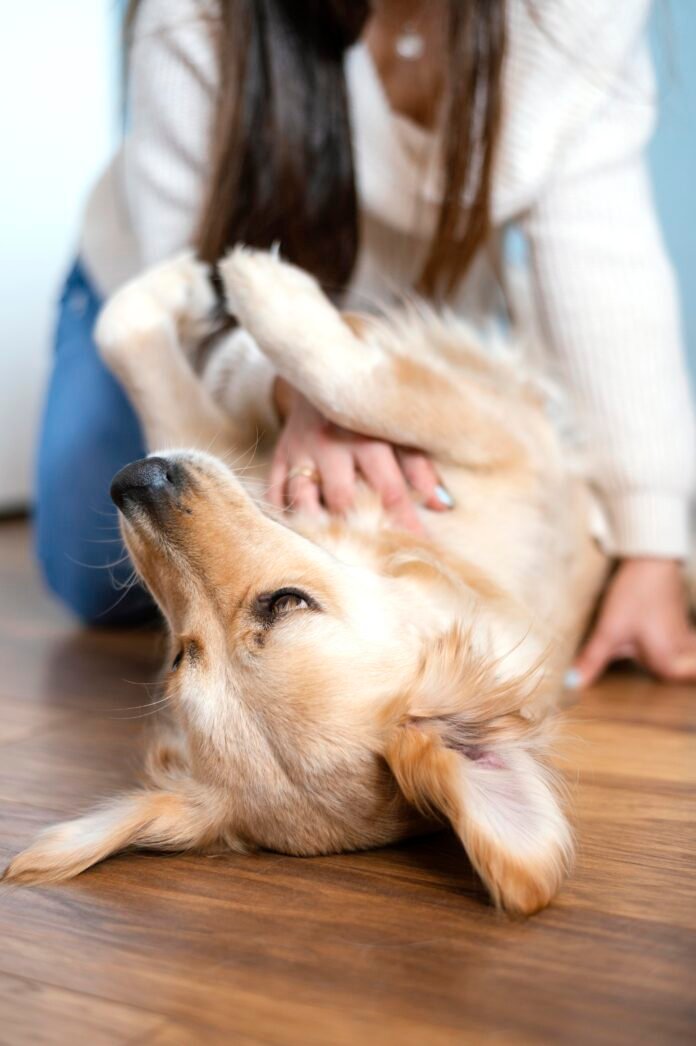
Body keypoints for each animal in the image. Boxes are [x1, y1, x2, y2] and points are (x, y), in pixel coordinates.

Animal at [2, 248, 607, 912]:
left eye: (285, 602)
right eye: (182, 658)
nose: (132, 481)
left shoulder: (504, 439)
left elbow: (357, 388)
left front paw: (251, 290)